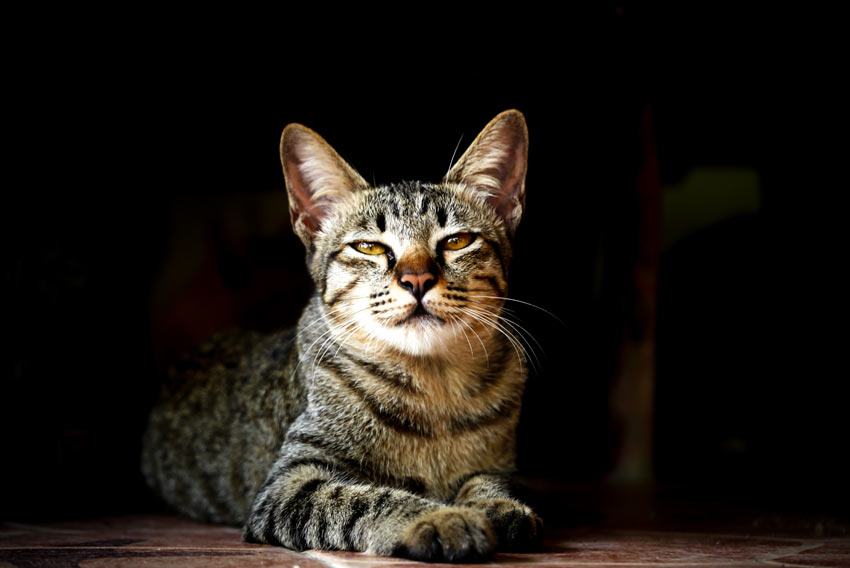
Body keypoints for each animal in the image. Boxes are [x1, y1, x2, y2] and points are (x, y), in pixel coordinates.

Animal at [137, 108, 536, 560]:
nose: (416, 279)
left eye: (457, 240)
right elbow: (364, 499)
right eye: (369, 247)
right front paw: (440, 517)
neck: (434, 387)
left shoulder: (500, 461)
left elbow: (490, 478)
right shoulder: (290, 484)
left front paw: (496, 503)